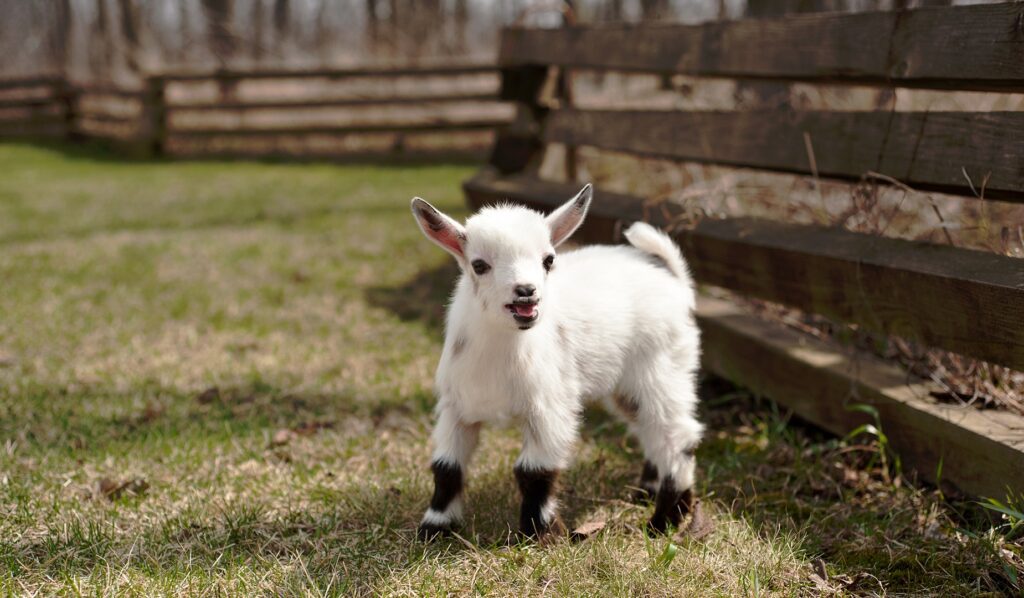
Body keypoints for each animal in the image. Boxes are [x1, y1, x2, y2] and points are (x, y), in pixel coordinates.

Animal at [410, 184, 703, 540]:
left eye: (548, 260)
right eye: (479, 265)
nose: (526, 291)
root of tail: (673, 278)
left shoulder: (549, 407)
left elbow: (533, 471)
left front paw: (537, 533)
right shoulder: (456, 407)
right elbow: (447, 467)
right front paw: (435, 527)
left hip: (662, 367)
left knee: (676, 434)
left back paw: (664, 520)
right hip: (629, 387)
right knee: (650, 428)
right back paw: (650, 494)